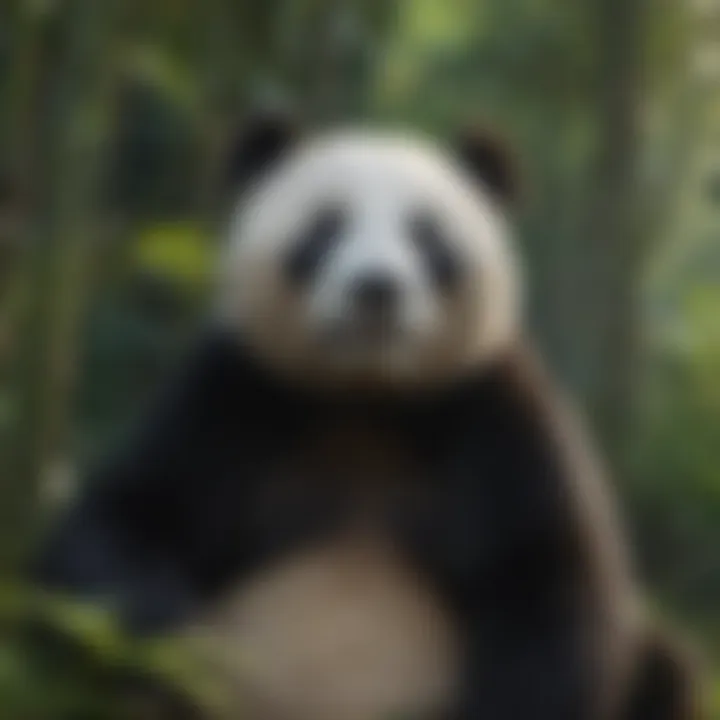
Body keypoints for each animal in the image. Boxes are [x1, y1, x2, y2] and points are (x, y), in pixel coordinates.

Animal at [33, 112, 699, 720]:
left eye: (428, 239)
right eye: (324, 231)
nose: (377, 289)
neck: (367, 395)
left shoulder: (497, 415)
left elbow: (550, 582)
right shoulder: (231, 397)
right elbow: (118, 522)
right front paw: (173, 632)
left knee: (662, 663)